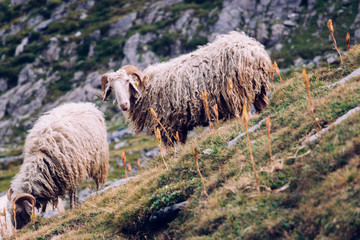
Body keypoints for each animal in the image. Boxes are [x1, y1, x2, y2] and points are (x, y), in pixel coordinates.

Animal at [6, 102, 108, 230]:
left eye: (18, 212)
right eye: (10, 212)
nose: (17, 230)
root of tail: (86, 104)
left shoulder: (70, 173)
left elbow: (72, 193)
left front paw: (72, 207)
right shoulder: (47, 184)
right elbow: (45, 202)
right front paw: (44, 214)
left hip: (99, 160)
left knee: (98, 181)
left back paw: (99, 192)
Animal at [97, 31, 272, 145]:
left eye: (127, 81)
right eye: (111, 88)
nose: (123, 105)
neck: (146, 90)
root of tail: (253, 48)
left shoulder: (168, 125)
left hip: (239, 93)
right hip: (258, 88)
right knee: (261, 105)